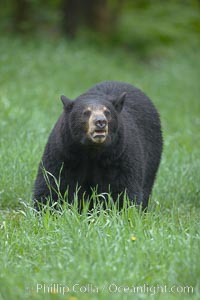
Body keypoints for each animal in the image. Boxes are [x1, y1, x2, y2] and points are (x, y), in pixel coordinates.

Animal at [33, 81, 162, 210]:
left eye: (107, 112)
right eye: (86, 112)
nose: (100, 121)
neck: (92, 150)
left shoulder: (120, 155)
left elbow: (123, 187)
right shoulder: (64, 152)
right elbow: (52, 182)